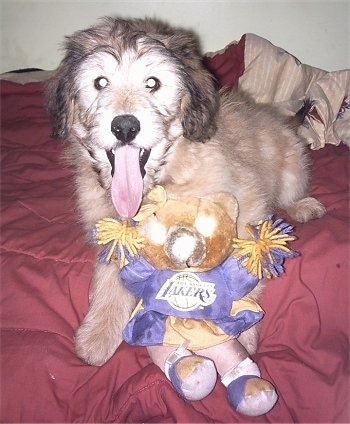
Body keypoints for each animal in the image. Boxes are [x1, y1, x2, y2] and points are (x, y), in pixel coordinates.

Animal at [46, 18, 326, 366]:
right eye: (100, 82)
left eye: (153, 83)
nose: (124, 127)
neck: (160, 183)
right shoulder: (112, 228)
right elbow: (110, 276)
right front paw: (98, 332)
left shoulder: (246, 205)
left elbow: (245, 264)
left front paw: (241, 335)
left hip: (291, 167)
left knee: (292, 191)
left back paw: (304, 206)